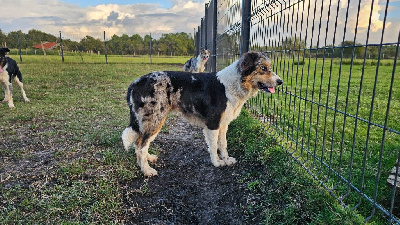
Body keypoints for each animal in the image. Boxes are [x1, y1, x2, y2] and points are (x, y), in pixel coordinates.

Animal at [122, 51, 282, 177]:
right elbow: (213, 146)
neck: (234, 85)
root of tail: (134, 83)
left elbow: (223, 144)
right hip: (155, 119)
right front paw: (217, 162)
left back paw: (148, 159)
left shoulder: (223, 124)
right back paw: (146, 170)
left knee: (139, 143)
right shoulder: (213, 124)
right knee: (141, 145)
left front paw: (226, 159)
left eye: (269, 68)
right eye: (263, 68)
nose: (280, 81)